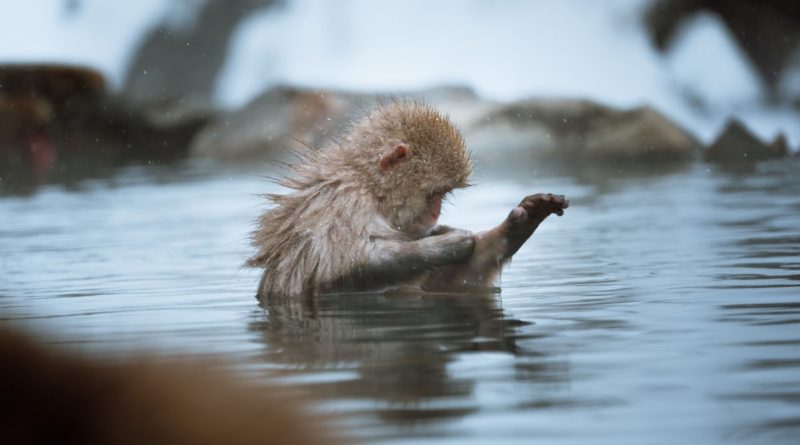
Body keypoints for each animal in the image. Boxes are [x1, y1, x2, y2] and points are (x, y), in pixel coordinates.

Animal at [247, 102, 568, 300]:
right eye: (435, 194)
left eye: (443, 195)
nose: (436, 214)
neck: (370, 187)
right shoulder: (342, 206)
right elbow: (341, 271)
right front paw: (441, 246)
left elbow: (455, 282)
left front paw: (519, 225)